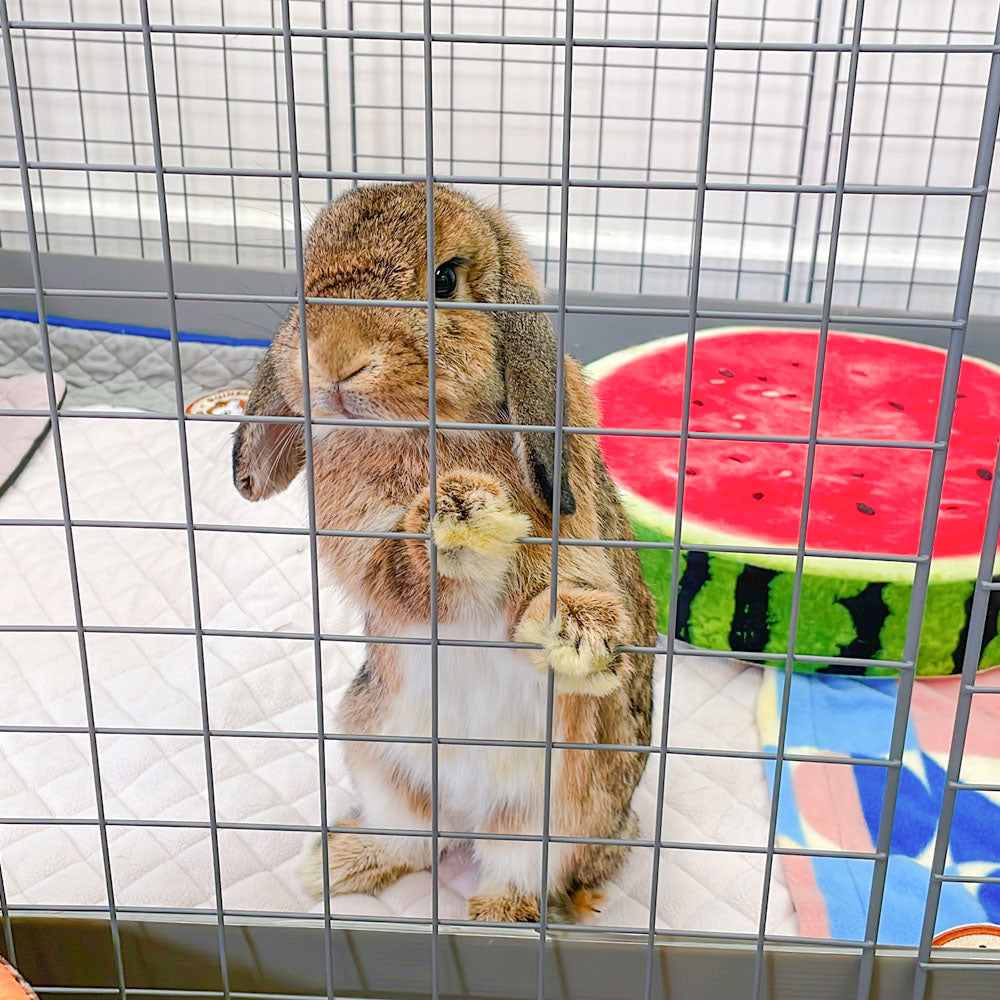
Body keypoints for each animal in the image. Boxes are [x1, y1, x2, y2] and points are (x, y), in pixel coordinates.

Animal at [231, 184, 660, 924]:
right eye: (304, 278)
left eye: (444, 281)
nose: (334, 359)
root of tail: (469, 812)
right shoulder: (365, 554)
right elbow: (402, 576)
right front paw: (457, 517)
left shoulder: (569, 537)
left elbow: (556, 590)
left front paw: (581, 638)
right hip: (375, 750)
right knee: (415, 840)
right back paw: (337, 864)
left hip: (559, 812)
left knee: (519, 875)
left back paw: (491, 919)